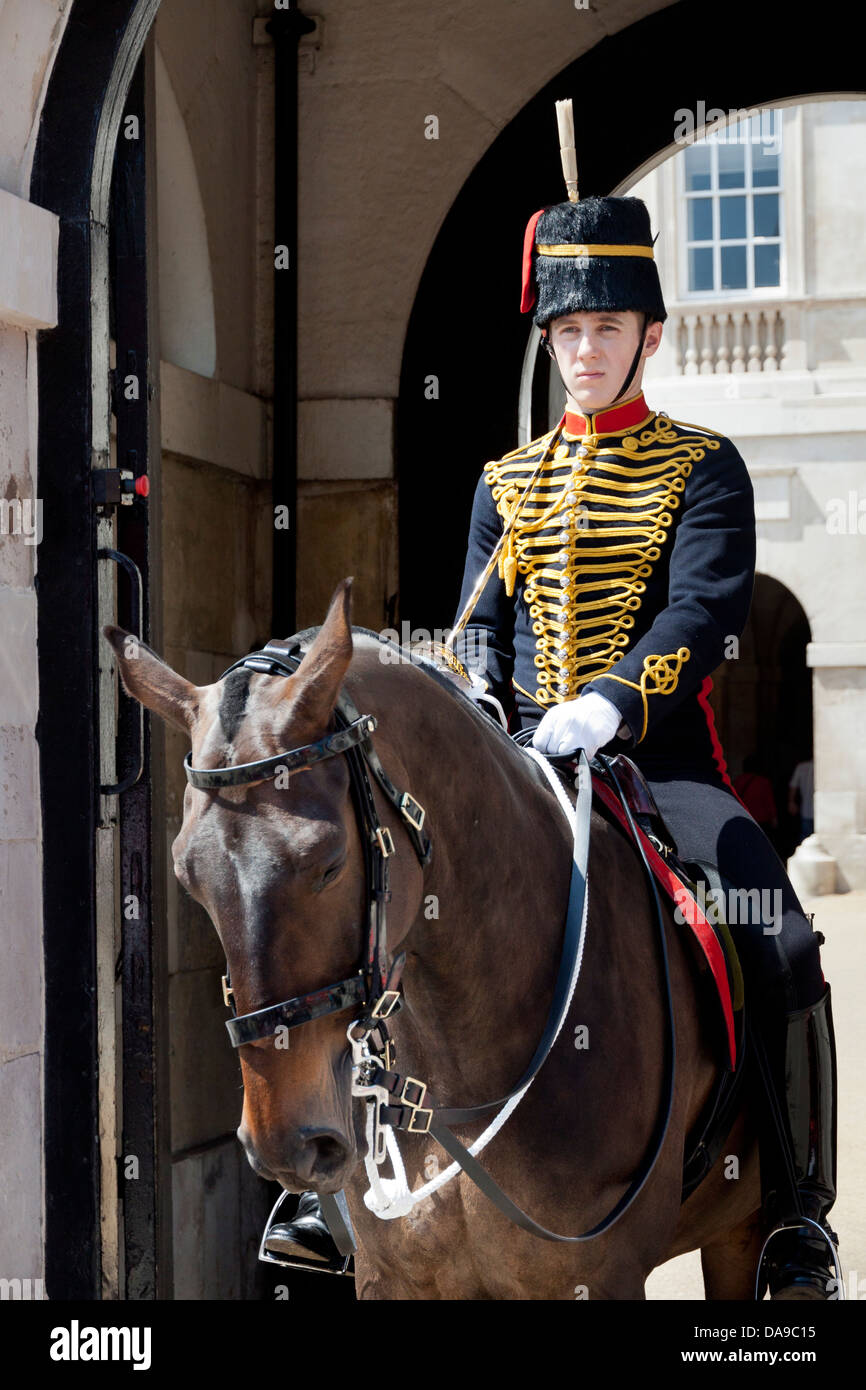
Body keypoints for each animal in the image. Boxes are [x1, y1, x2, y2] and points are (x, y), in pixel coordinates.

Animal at [104, 581, 767, 1295]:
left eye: (329, 862)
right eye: (187, 874)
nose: (286, 1143)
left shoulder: (599, 1278)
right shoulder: (394, 1278)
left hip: (739, 1234)